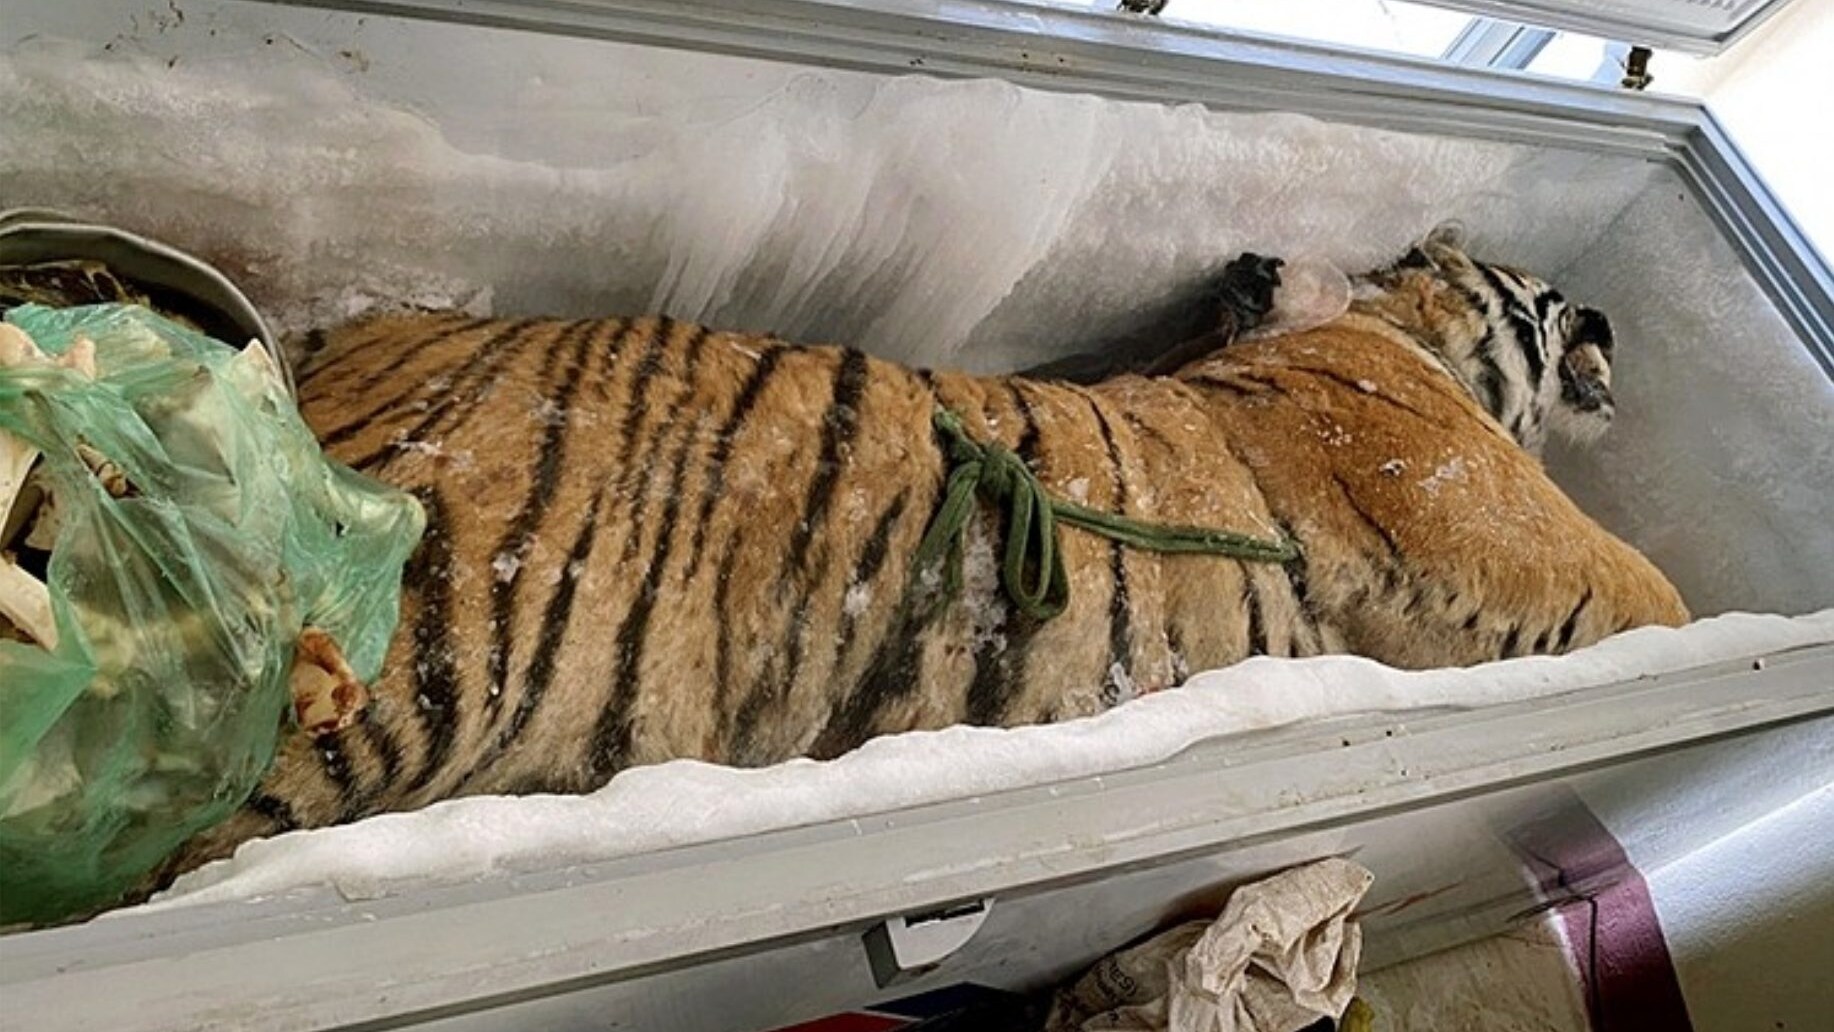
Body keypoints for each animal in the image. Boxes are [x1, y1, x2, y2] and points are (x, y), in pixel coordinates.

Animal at [144, 222, 1686, 898]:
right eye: (1550, 293)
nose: (1612, 315)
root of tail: (332, 346)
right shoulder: (1498, 516)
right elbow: (1665, 599)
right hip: (399, 679)